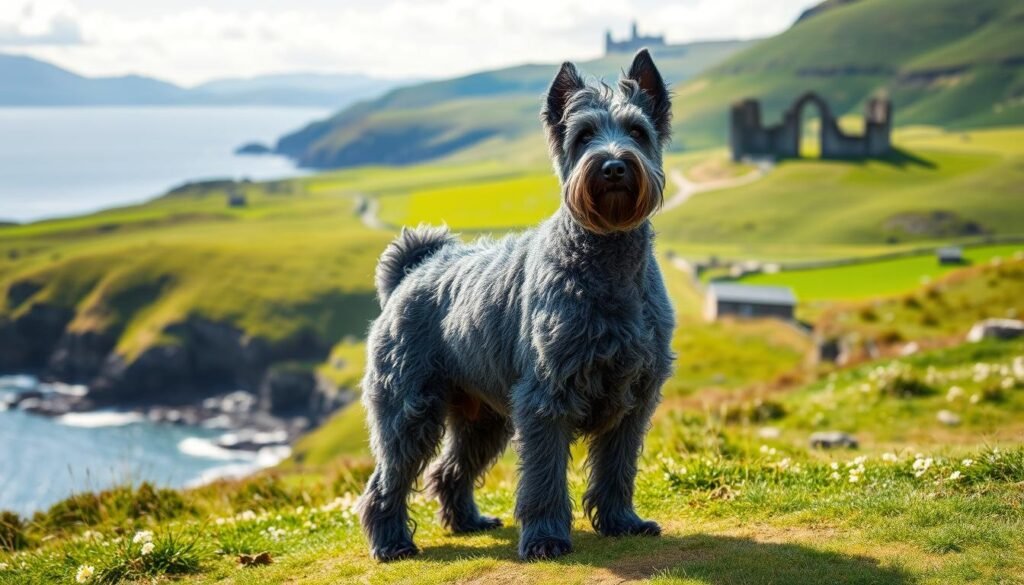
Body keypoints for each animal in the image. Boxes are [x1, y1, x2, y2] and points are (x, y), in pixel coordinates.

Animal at [362, 49, 679, 561]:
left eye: (637, 131)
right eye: (584, 135)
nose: (613, 166)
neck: (607, 265)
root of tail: (409, 274)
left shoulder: (633, 399)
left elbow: (617, 470)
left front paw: (621, 523)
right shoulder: (546, 399)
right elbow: (544, 478)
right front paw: (546, 538)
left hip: (482, 420)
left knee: (448, 471)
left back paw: (467, 522)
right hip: (408, 413)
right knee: (384, 483)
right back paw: (392, 544)